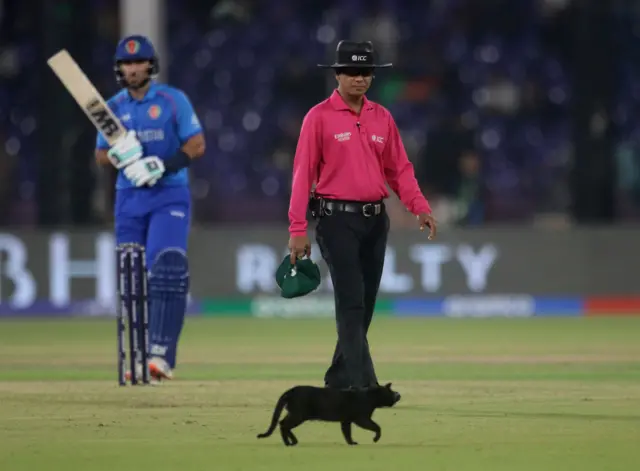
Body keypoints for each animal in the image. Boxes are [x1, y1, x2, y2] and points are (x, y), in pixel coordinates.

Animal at [255, 384, 400, 446]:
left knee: (283, 424)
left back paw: (293, 441)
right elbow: (377, 426)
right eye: (390, 391)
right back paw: (288, 443)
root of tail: (290, 390)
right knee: (284, 425)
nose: (398, 394)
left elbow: (347, 433)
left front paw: (351, 442)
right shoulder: (362, 418)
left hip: (295, 414)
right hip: (298, 415)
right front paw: (375, 439)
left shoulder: (346, 420)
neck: (370, 397)